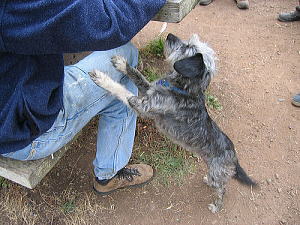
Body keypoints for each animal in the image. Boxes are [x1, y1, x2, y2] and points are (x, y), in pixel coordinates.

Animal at [88, 33, 255, 213]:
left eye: (187, 47)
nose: (169, 35)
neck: (182, 89)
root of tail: (234, 157)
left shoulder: (142, 107)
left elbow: (121, 91)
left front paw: (102, 79)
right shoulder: (148, 88)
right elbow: (137, 75)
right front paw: (121, 64)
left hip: (217, 176)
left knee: (222, 190)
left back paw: (216, 206)